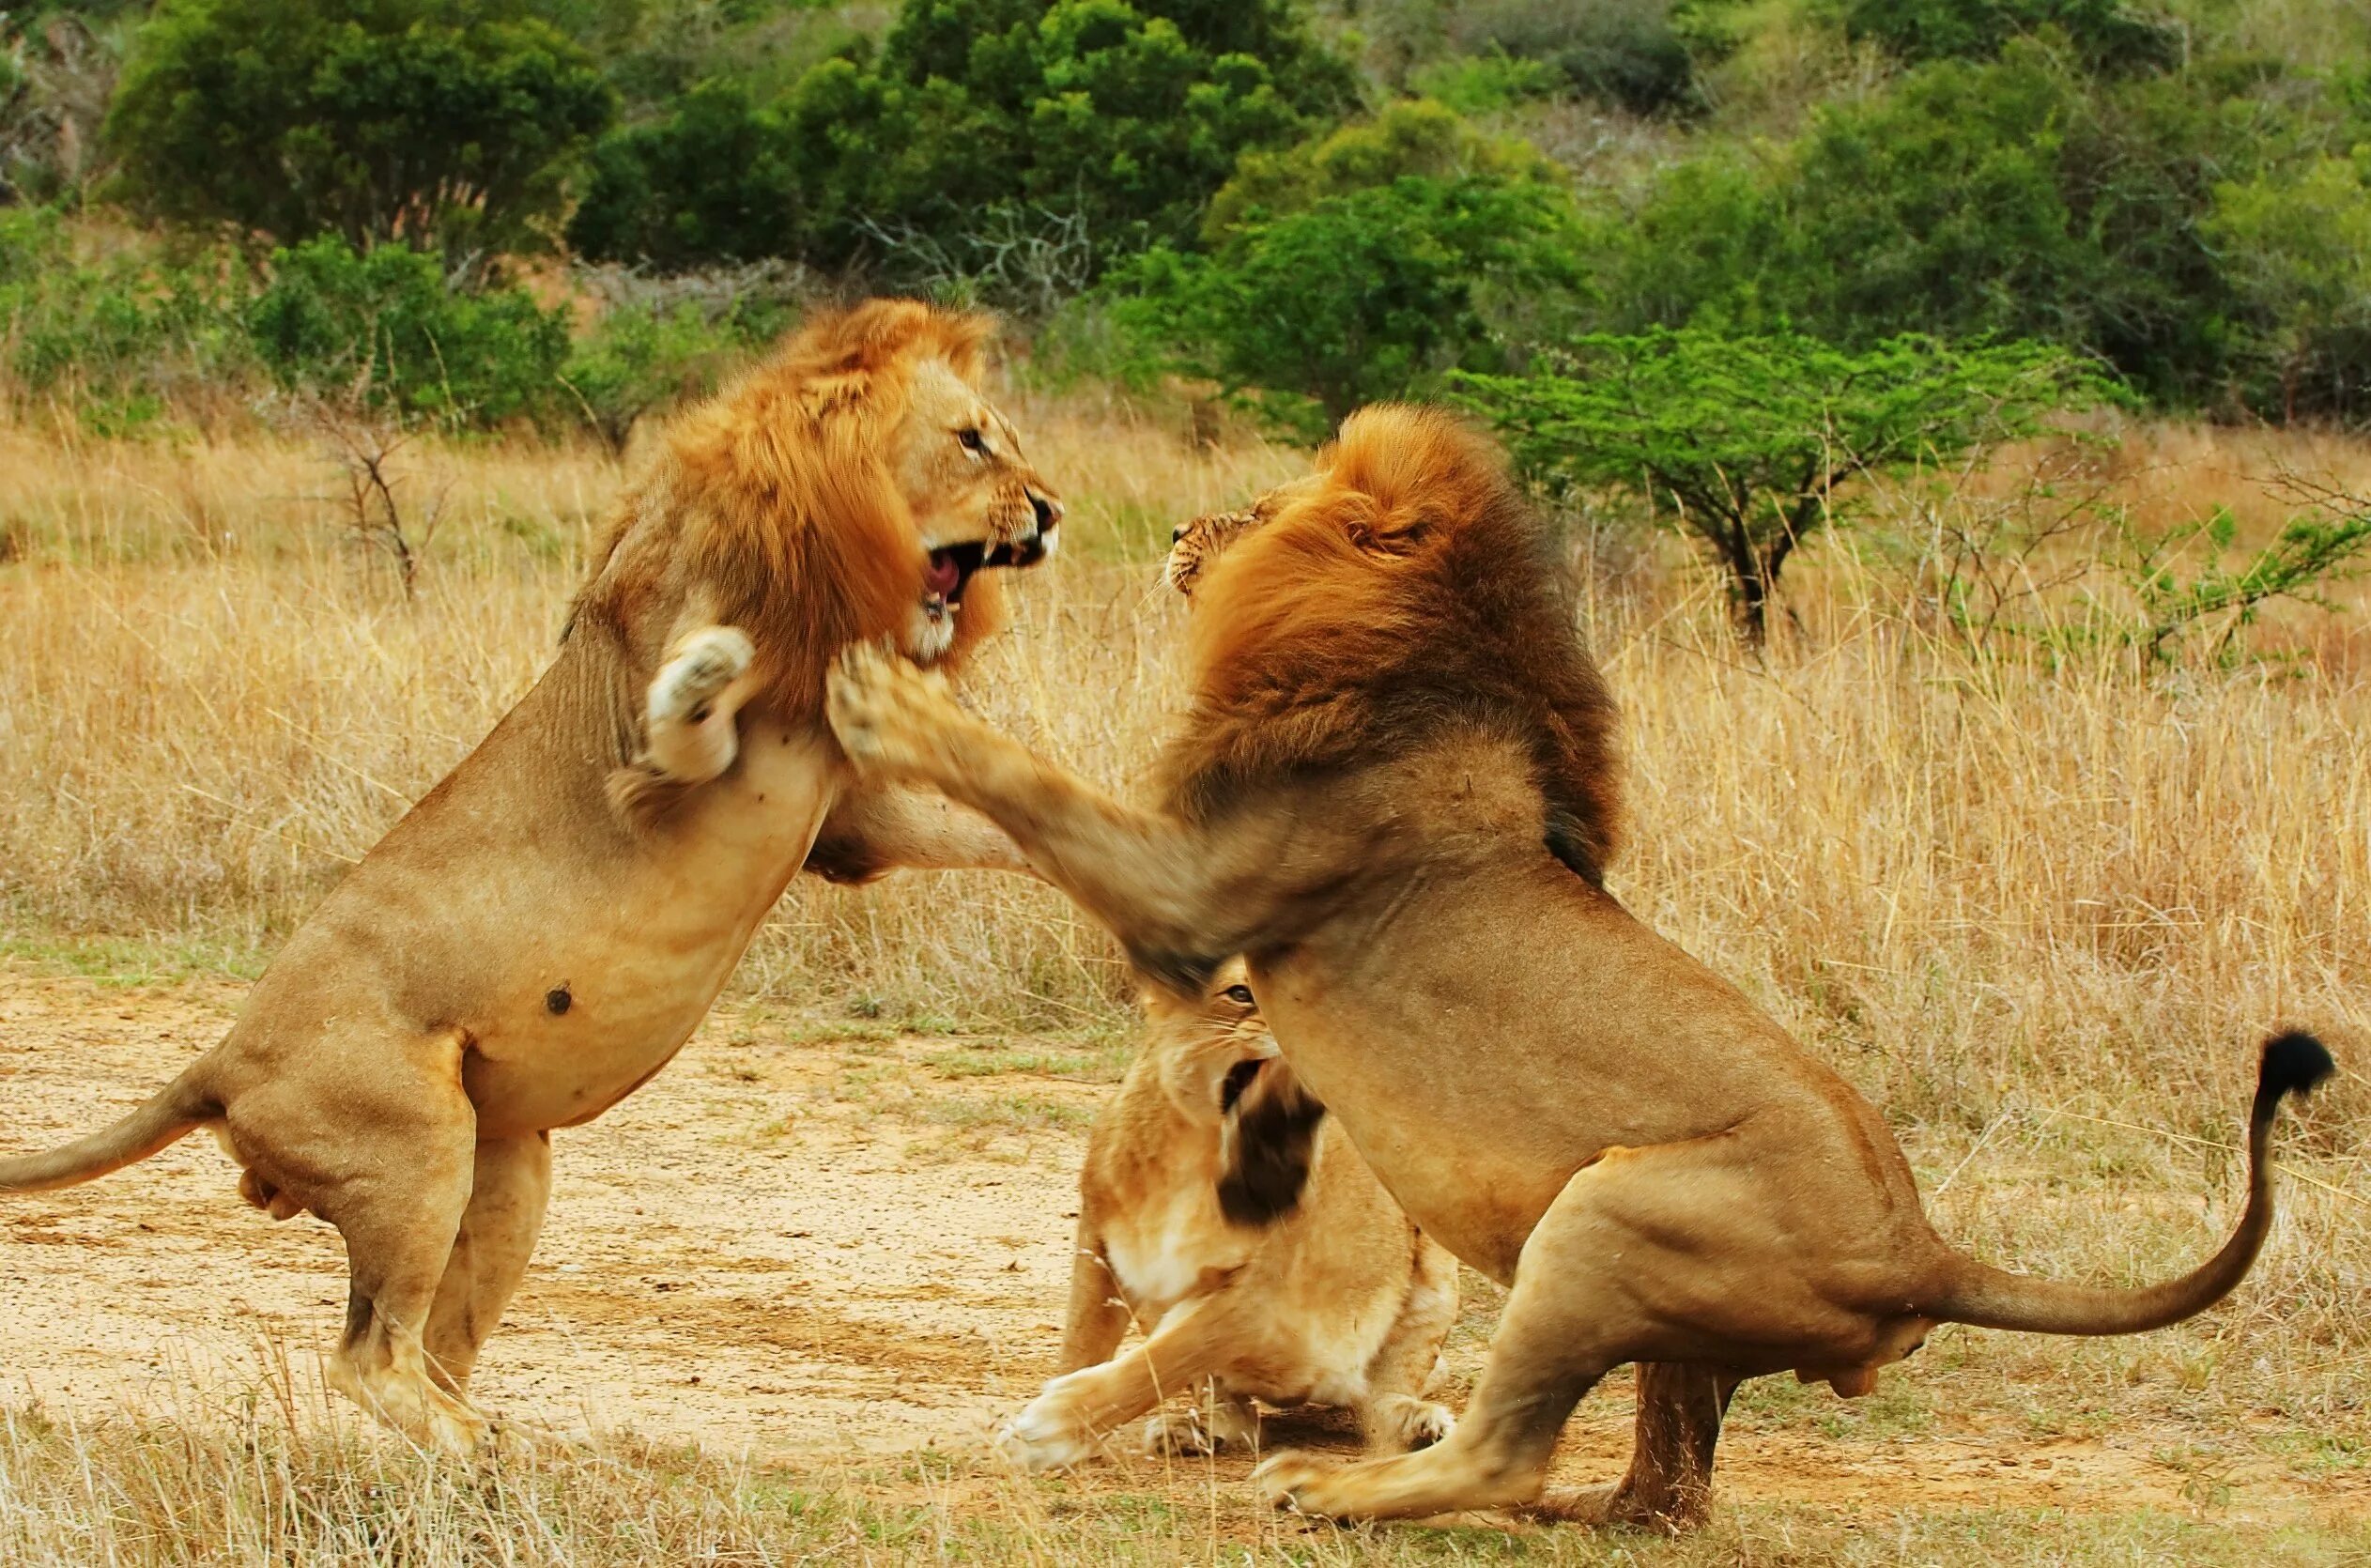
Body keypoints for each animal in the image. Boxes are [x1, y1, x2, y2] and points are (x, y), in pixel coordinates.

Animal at [0, 300, 1057, 1452]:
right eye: (972, 440)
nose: (1051, 513)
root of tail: (222, 1061)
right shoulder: (667, 760)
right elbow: (686, 713)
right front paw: (707, 668)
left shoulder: (852, 811)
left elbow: (996, 821)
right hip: (416, 1144)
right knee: (367, 1359)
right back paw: (475, 1456)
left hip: (507, 1163)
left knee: (430, 1354)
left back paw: (505, 1442)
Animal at [829, 403, 2333, 1528]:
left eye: (1252, 511)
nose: (1170, 531)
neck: (1412, 672)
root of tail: (1925, 1249)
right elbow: (998, 827)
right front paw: (853, 818)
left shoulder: (1194, 892)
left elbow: (1028, 784)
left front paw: (887, 698)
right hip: (1666, 1325)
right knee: (1651, 1485)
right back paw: (1517, 1498)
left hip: (1603, 1214)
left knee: (1507, 1447)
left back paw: (1327, 1486)